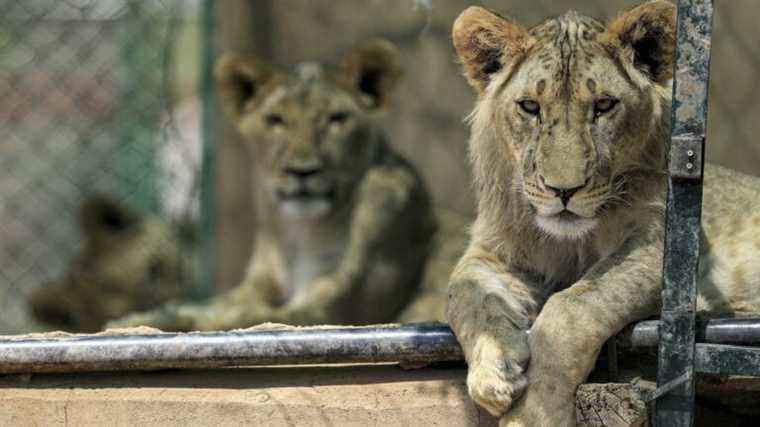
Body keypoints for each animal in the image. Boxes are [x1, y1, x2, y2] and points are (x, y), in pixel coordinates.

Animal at [446, 1, 760, 426]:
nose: (563, 190)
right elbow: (462, 290)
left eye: (604, 105)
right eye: (530, 107)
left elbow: (573, 308)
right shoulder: (496, 250)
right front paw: (493, 371)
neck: (570, 242)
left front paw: (534, 413)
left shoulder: (665, 250)